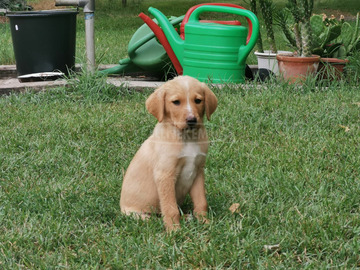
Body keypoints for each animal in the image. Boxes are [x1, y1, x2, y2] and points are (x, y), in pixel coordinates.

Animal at [120, 75, 217, 231]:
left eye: (198, 100)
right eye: (176, 102)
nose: (192, 120)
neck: (187, 139)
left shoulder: (198, 171)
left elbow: (201, 202)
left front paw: (205, 222)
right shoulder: (165, 174)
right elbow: (170, 208)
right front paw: (174, 230)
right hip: (137, 215)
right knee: (154, 218)